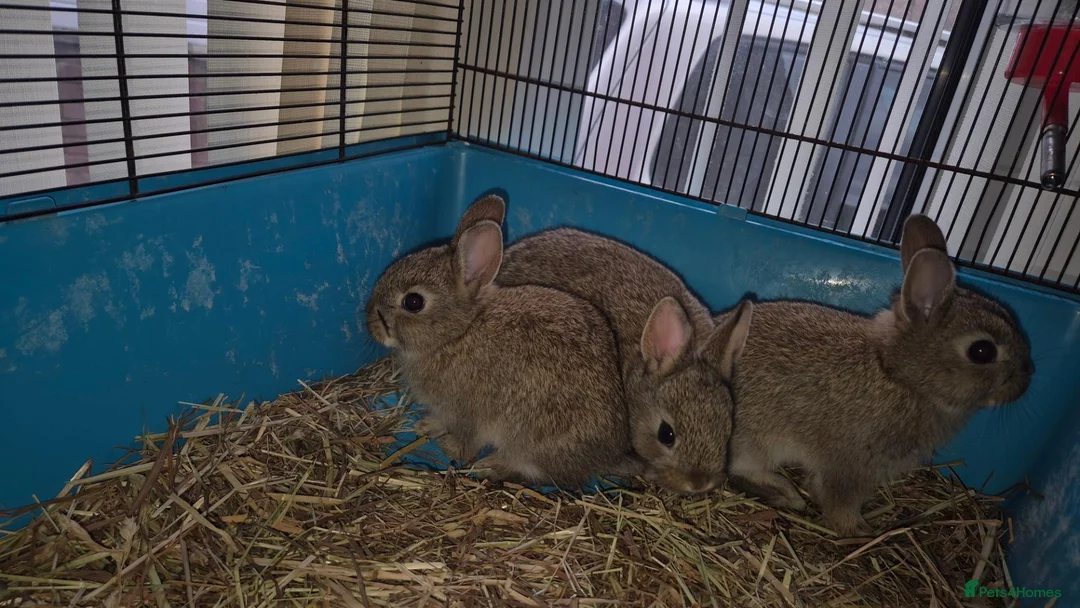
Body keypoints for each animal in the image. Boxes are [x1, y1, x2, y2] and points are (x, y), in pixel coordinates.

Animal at [364, 195, 640, 487]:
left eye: (413, 302)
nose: (369, 319)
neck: (458, 334)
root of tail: (605, 458)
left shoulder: (466, 415)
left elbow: (466, 444)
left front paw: (449, 448)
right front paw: (427, 426)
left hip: (530, 441)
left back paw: (491, 466)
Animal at [725, 214, 1034, 537]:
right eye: (982, 351)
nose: (1026, 380)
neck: (898, 375)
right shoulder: (851, 463)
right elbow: (838, 499)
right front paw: (859, 531)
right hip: (755, 444)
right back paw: (786, 493)